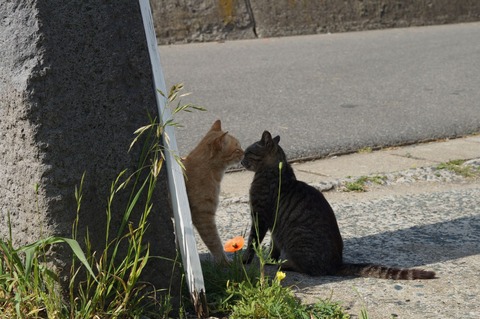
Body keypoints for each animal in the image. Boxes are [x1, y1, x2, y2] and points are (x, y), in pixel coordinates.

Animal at [242, 131, 436, 280]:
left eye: (248, 152)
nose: (241, 161)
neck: (274, 170)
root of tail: (337, 264)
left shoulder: (260, 217)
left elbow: (252, 241)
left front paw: (245, 260)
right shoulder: (273, 227)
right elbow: (273, 246)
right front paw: (270, 259)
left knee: (310, 270)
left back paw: (286, 264)